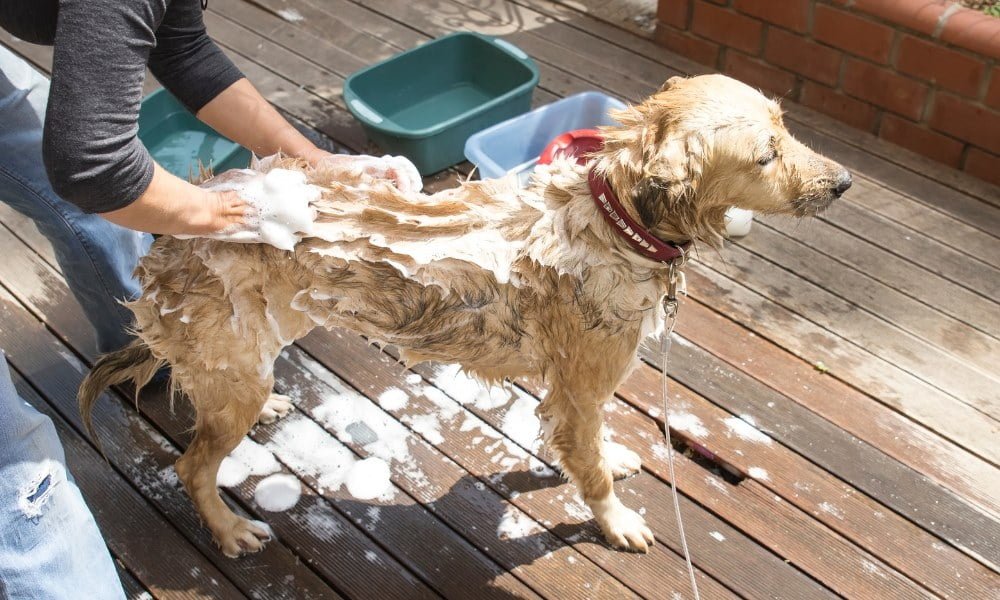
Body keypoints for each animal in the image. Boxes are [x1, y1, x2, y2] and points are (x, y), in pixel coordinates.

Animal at [78, 75, 852, 556]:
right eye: (766, 155)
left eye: (787, 129)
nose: (843, 181)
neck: (615, 221)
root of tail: (168, 242)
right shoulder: (579, 389)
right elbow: (591, 472)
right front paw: (616, 521)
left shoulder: (574, 395)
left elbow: (589, 449)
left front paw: (607, 459)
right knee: (193, 466)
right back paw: (230, 531)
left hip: (252, 346)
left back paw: (264, 410)